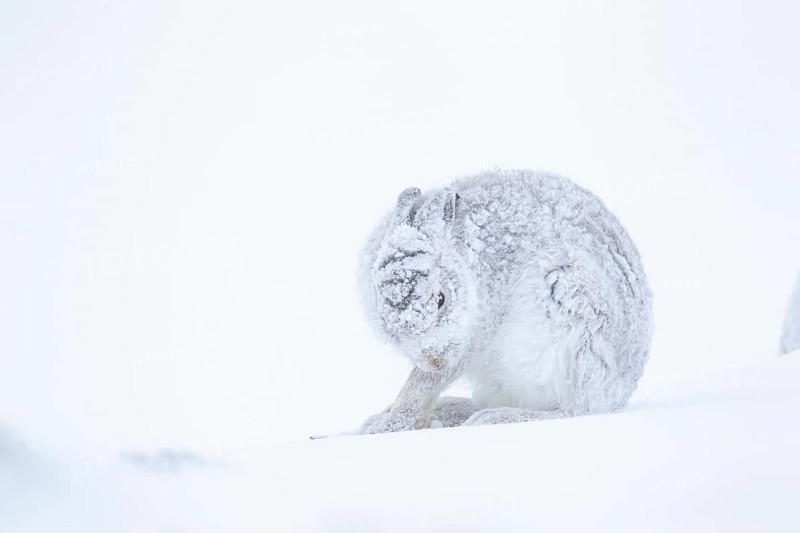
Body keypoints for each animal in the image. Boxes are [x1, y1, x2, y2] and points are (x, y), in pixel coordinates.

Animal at [355, 169, 653, 434]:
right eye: (385, 317)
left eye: (440, 299)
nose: (434, 359)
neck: (466, 263)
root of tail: (619, 391)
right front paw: (382, 421)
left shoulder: (471, 337)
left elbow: (422, 384)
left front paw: (390, 424)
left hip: (579, 320)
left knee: (577, 410)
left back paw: (491, 418)